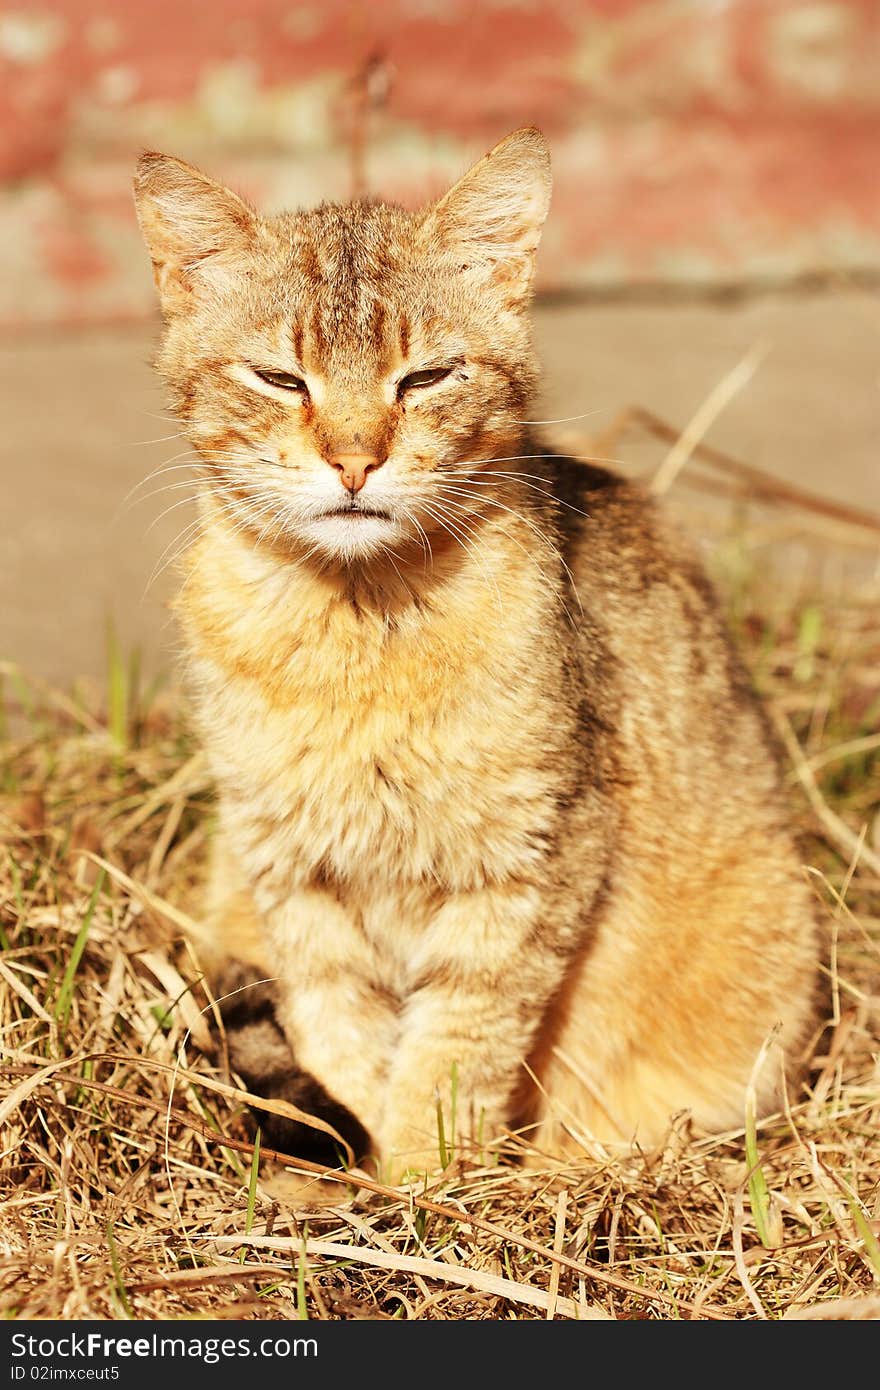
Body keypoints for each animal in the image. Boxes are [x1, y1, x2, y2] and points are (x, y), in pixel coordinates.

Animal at [134, 125, 823, 1178]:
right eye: (280, 379)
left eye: (425, 377)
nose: (354, 460)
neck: (360, 628)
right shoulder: (288, 867)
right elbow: (336, 1029)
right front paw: (358, 1179)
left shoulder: (531, 861)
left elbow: (458, 1047)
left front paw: (422, 1186)